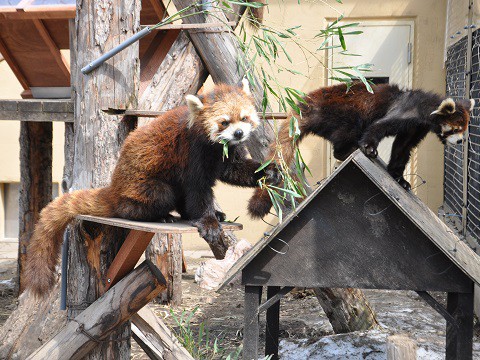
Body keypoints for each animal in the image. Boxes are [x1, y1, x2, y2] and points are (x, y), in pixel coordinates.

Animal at [26, 81, 280, 298]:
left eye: (244, 118)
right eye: (224, 122)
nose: (239, 133)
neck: (214, 147)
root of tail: (114, 187)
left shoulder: (226, 154)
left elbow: (235, 170)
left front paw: (270, 171)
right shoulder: (191, 153)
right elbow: (198, 190)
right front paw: (208, 223)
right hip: (147, 188)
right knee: (155, 198)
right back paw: (163, 216)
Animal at [249, 82, 474, 219]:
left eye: (464, 129)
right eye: (456, 129)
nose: (461, 141)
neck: (425, 108)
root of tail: (308, 103)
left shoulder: (415, 128)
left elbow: (402, 149)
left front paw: (399, 178)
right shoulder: (406, 111)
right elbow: (378, 127)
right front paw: (368, 148)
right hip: (343, 112)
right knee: (348, 132)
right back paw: (349, 148)